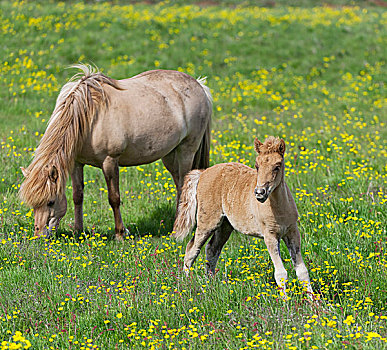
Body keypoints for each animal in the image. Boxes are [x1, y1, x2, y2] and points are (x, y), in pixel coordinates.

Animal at [19, 64, 212, 239]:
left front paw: (120, 233)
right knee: (179, 184)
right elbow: (77, 196)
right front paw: (78, 231)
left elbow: (114, 198)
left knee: (185, 186)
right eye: (32, 204)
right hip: (170, 156)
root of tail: (200, 85)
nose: (39, 236)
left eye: (50, 202)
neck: (88, 117)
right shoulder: (76, 163)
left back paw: (179, 231)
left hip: (186, 151)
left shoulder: (110, 161)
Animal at [173, 137, 316, 298]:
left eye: (277, 166)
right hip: (207, 222)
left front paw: (314, 301)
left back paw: (210, 283)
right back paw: (187, 285)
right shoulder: (270, 236)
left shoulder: (292, 232)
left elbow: (302, 271)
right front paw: (285, 301)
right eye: (257, 166)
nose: (260, 192)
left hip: (225, 226)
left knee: (212, 249)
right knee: (191, 249)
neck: (279, 209)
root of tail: (203, 173)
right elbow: (280, 273)